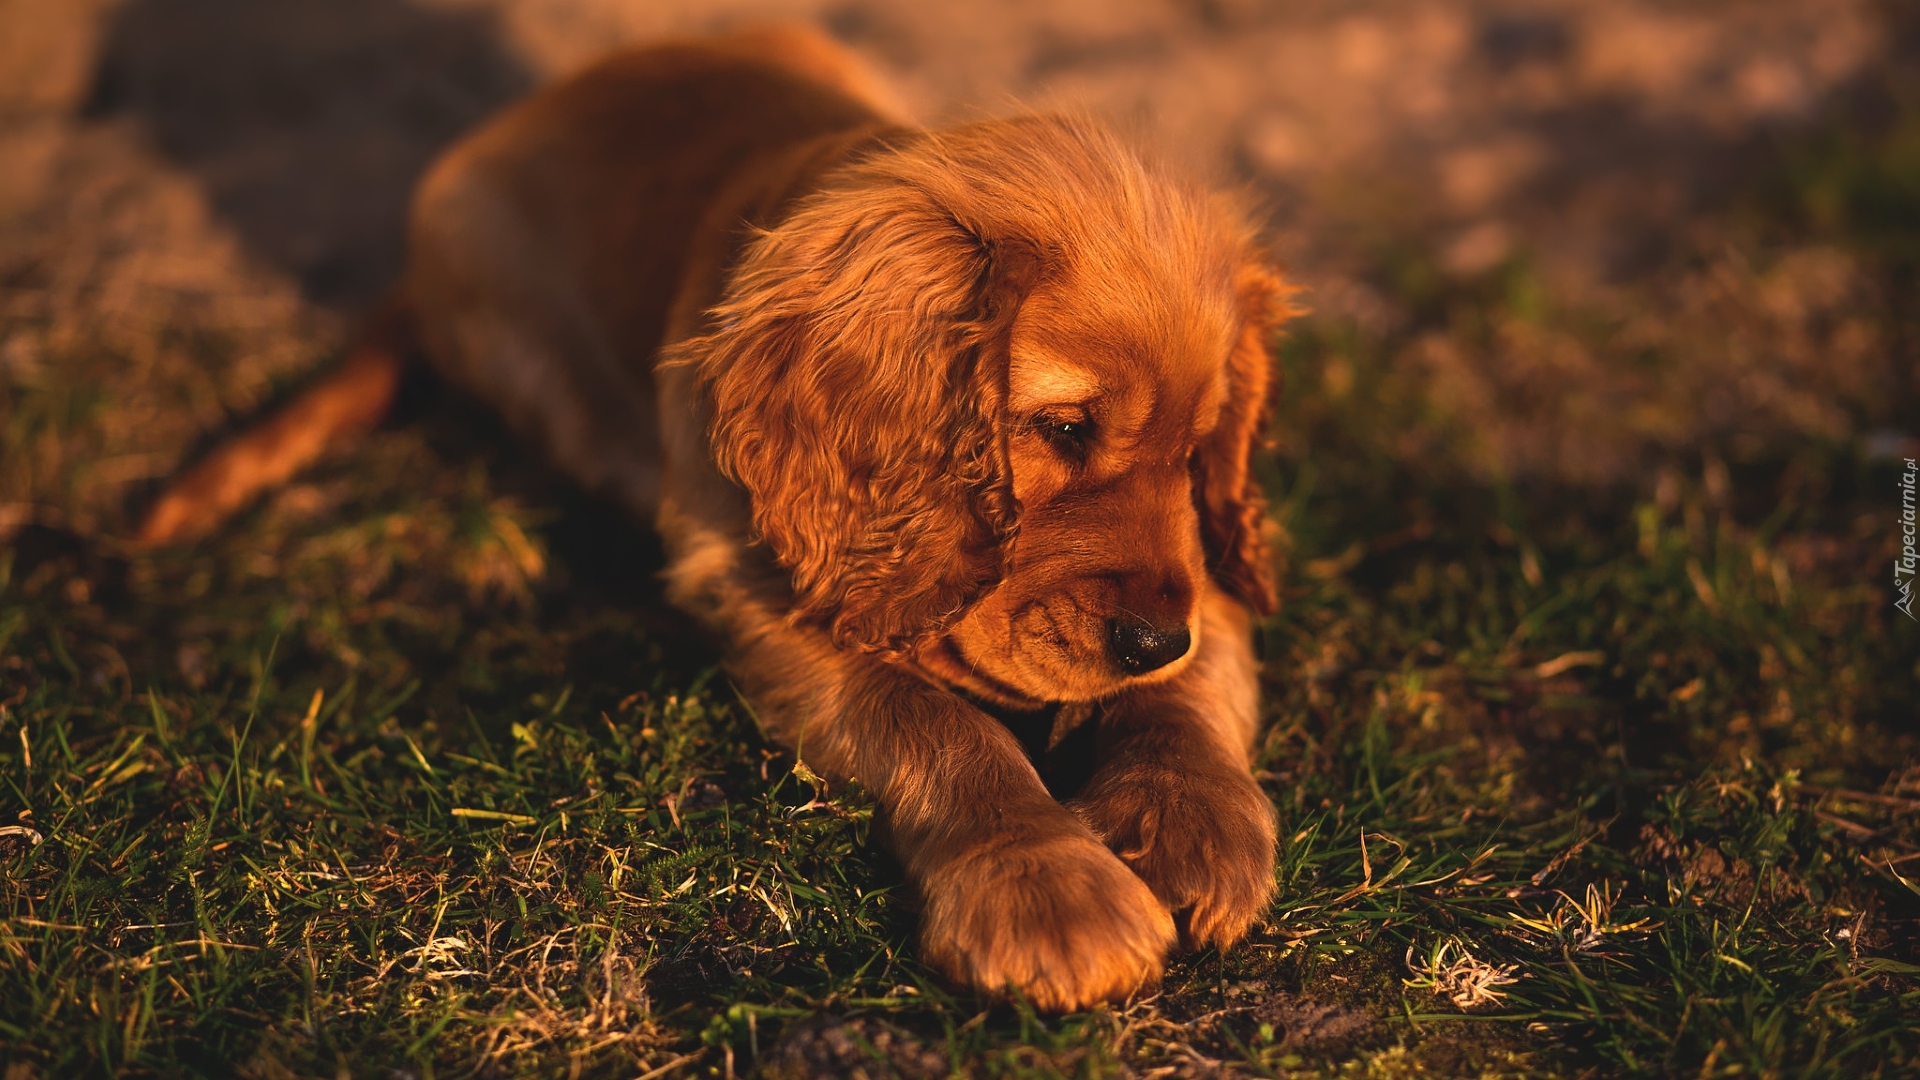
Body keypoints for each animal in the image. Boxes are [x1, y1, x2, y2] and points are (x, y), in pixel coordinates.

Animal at [142, 25, 1297, 1006]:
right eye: (1061, 428)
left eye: (1199, 452)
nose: (1146, 638)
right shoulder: (755, 585)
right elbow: (934, 719)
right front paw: (1046, 890)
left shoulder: (1202, 570)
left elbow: (1196, 670)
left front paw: (1190, 819)